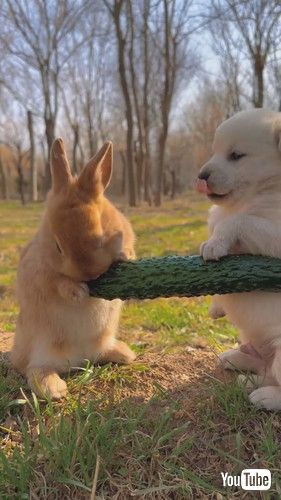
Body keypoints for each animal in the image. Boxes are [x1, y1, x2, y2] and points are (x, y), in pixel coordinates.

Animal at [11, 137, 136, 398]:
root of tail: (80, 359)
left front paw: (125, 255)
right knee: (35, 369)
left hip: (103, 336)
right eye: (58, 246)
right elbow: (57, 282)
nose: (89, 273)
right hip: (42, 346)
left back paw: (125, 354)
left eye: (101, 236)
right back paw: (54, 389)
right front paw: (77, 292)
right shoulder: (38, 273)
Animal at [195, 109, 281, 410]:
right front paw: (216, 307)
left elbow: (239, 221)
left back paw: (264, 396)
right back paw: (239, 363)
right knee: (263, 369)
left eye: (236, 155)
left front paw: (214, 243)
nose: (202, 175)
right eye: (214, 151)